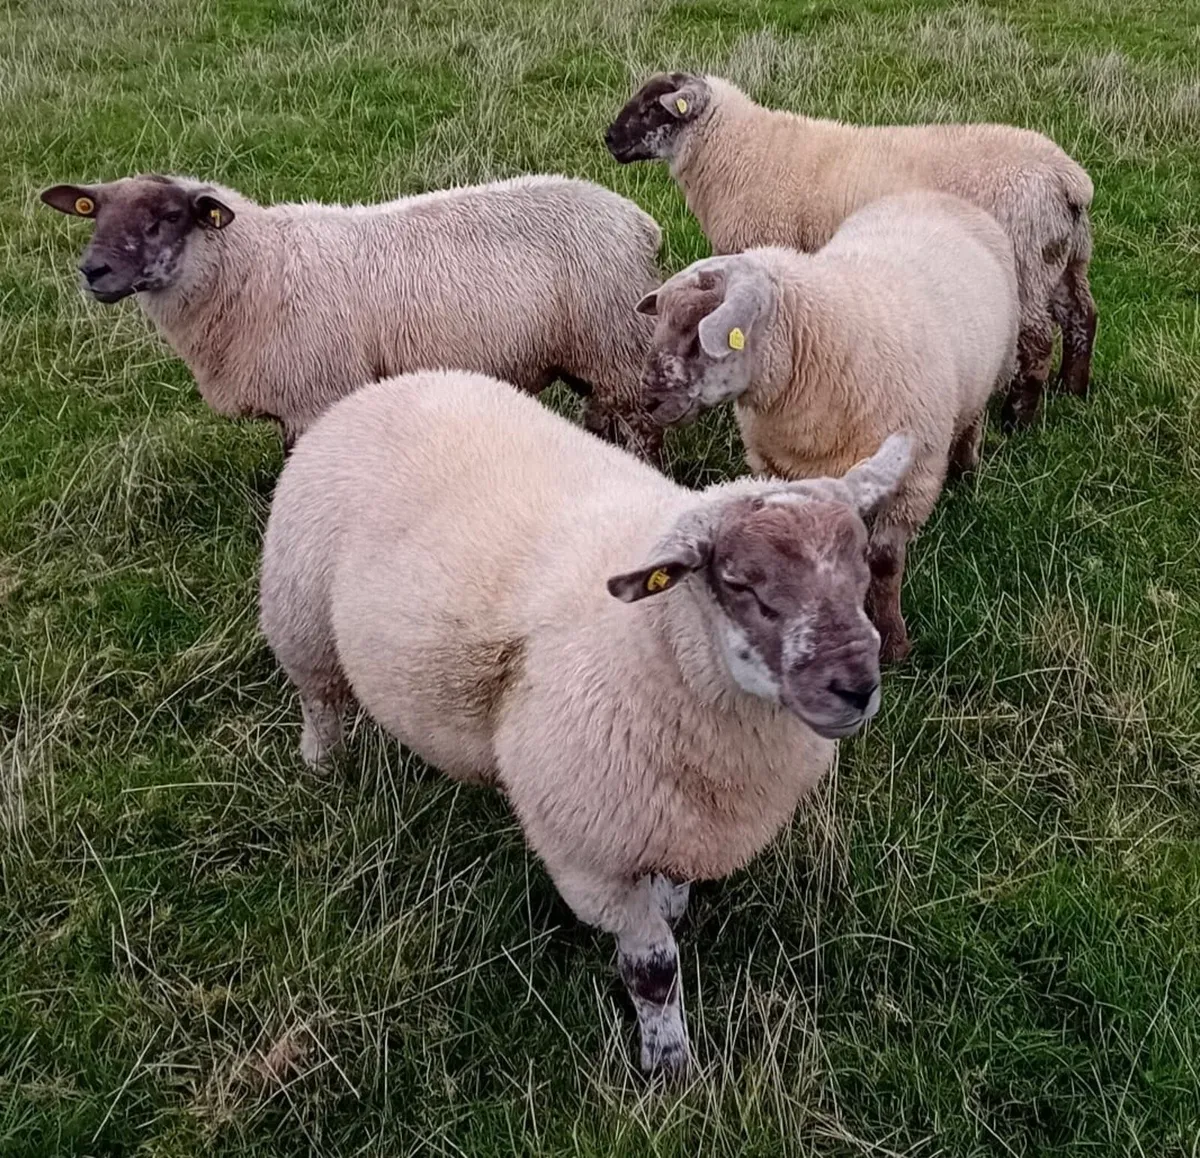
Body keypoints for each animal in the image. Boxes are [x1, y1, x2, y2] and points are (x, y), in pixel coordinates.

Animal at [39, 173, 665, 459]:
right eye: (94, 212)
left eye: (167, 217)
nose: (92, 270)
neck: (255, 268)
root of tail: (638, 221)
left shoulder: (318, 396)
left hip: (616, 344)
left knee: (640, 427)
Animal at [258, 366, 913, 1075]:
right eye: (743, 585)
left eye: (860, 569)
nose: (857, 688)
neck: (657, 644)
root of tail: (391, 385)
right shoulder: (591, 854)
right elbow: (653, 969)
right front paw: (670, 1067)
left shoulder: (678, 818)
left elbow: (673, 889)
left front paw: (673, 909)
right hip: (299, 612)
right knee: (320, 700)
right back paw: (324, 765)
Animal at [605, 71, 1096, 430]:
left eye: (652, 108)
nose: (609, 138)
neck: (736, 151)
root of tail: (1069, 178)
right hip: (1063, 261)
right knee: (1082, 317)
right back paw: (1073, 390)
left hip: (1027, 263)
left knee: (1037, 340)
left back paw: (1019, 420)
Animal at [634, 191, 1020, 662]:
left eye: (698, 333)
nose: (648, 400)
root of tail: (930, 194)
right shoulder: (774, 468)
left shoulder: (915, 477)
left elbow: (885, 562)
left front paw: (894, 642)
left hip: (994, 367)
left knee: (972, 419)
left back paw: (966, 466)